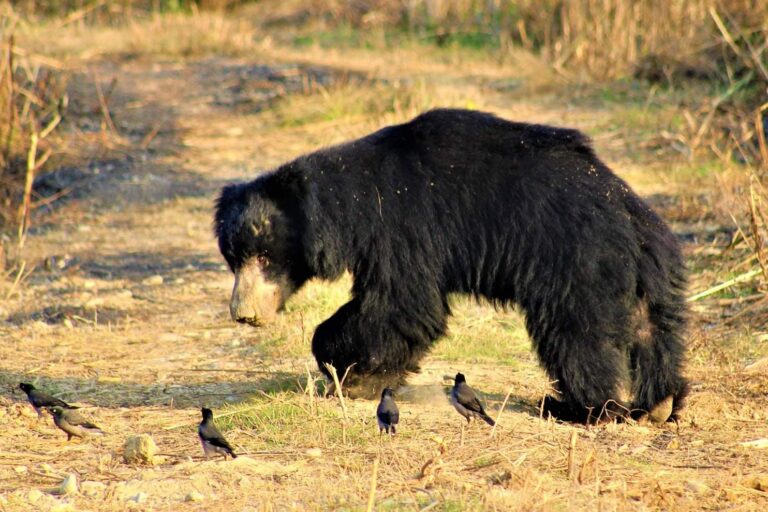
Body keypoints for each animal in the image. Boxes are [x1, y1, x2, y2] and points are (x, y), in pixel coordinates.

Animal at [213, 108, 688, 424]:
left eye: (265, 256)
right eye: (233, 258)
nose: (243, 313)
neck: (353, 202)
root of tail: (627, 211)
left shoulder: (403, 227)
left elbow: (401, 304)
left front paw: (344, 368)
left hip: (575, 260)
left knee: (577, 336)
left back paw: (578, 408)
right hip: (649, 272)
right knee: (652, 330)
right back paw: (659, 404)